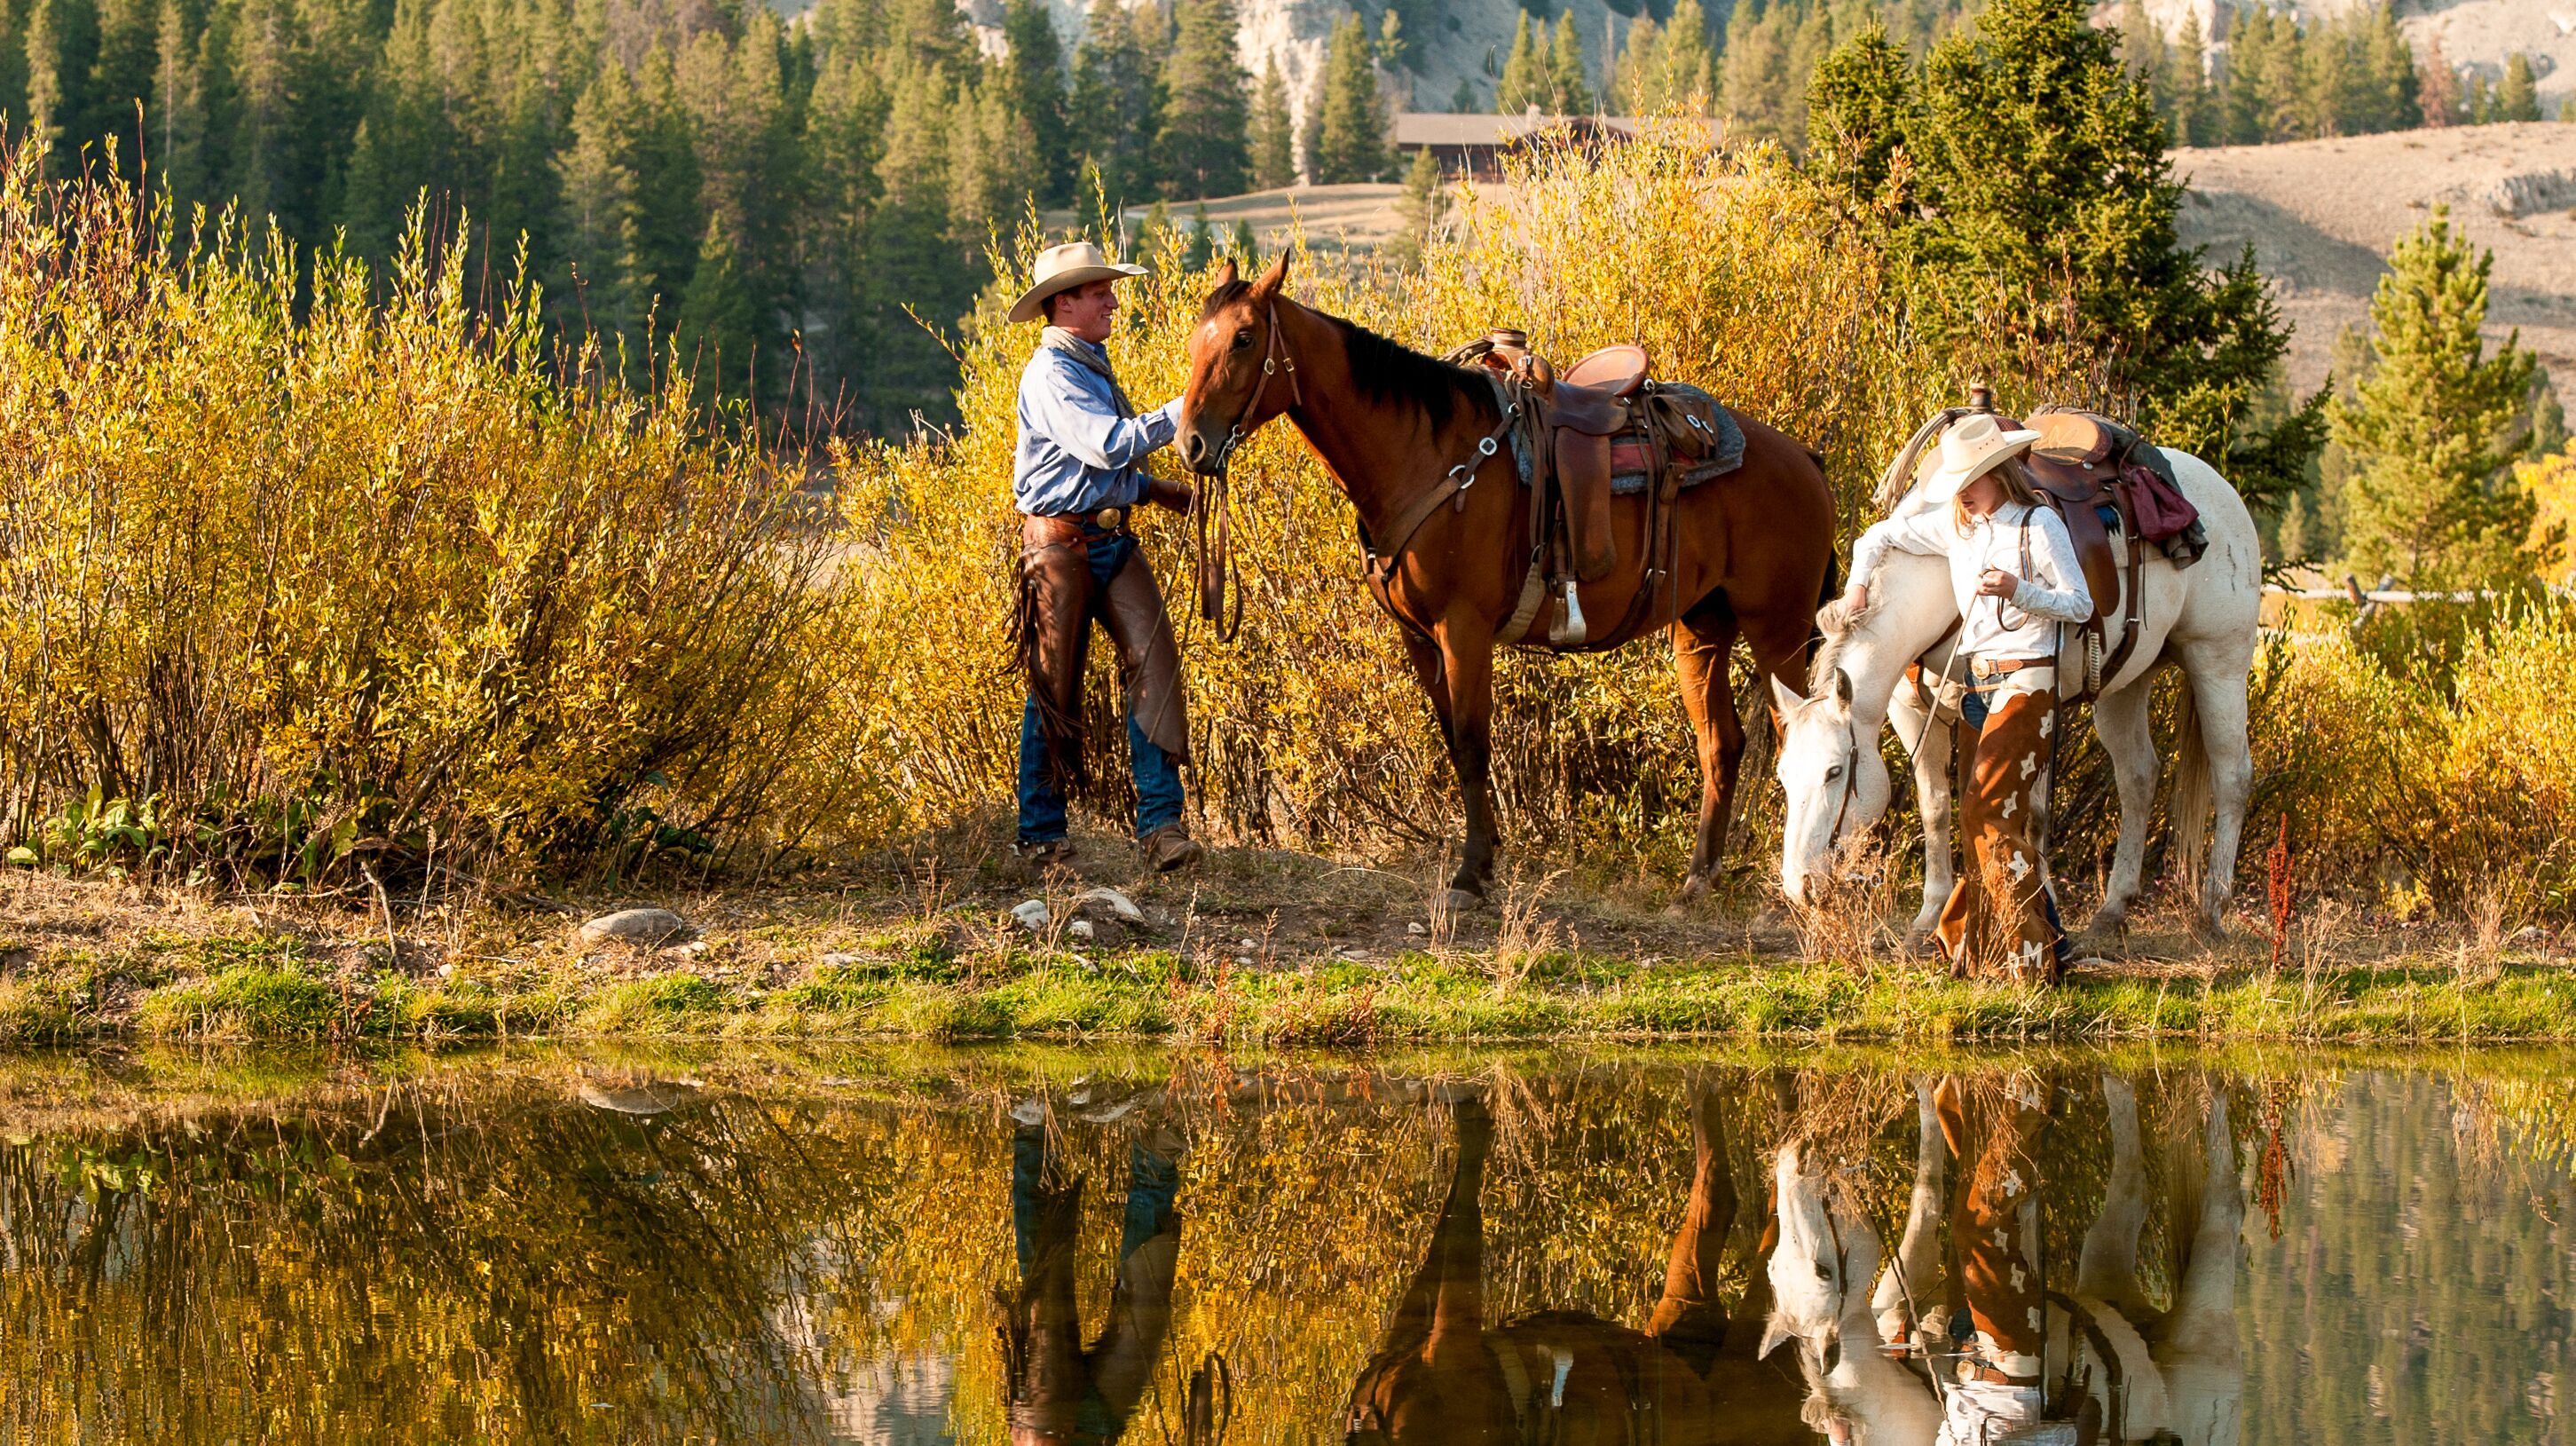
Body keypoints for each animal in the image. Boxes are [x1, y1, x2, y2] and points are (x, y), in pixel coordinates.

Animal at [1176, 253, 1839, 909]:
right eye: (1196, 337)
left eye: (1243, 337)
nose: (1191, 443)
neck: (1423, 454)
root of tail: (1806, 460)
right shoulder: (1419, 636)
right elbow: (1453, 738)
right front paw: (1486, 854)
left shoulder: (1463, 628)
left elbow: (1472, 742)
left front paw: (1470, 873)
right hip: (1701, 628)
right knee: (1720, 743)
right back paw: (1698, 878)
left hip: (1777, 630)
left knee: (1797, 735)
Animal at [1769, 445, 2262, 944]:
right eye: (1784, 775)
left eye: (1834, 772)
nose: (1798, 885)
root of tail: (2222, 490)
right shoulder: (1913, 712)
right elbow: (1938, 807)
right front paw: (1931, 916)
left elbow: (2028, 811)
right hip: (2125, 683)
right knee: (2138, 775)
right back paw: (2113, 909)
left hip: (2218, 662)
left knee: (2232, 777)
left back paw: (2212, 908)